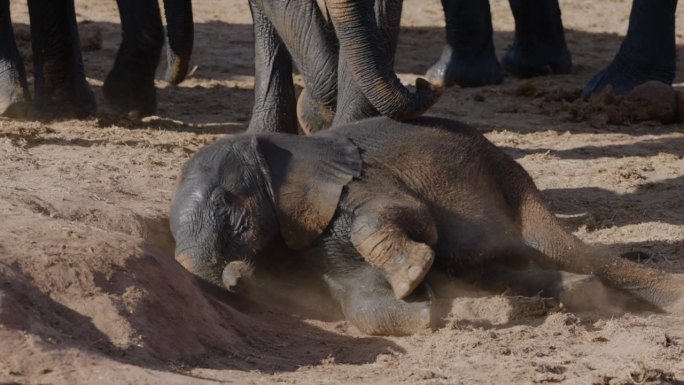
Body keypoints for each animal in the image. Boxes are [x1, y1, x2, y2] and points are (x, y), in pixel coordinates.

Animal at [168, 115, 680, 334]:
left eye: (231, 209)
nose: (231, 279)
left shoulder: (363, 180)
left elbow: (413, 220)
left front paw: (415, 279)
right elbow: (358, 300)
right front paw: (426, 305)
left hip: (510, 187)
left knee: (550, 245)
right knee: (490, 264)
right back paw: (577, 293)